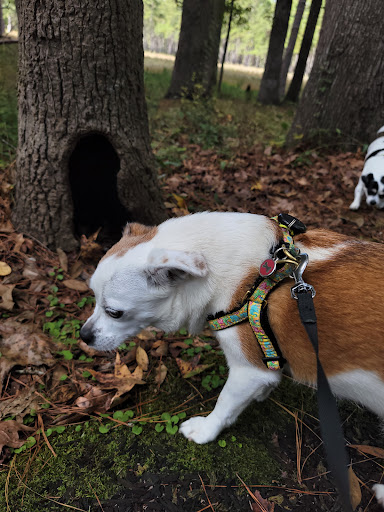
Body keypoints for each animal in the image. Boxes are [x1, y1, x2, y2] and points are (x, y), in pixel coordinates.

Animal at [79, 213, 384, 508]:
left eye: (115, 312)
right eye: (92, 296)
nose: (83, 337)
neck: (249, 279)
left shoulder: (247, 370)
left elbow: (225, 403)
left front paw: (205, 430)